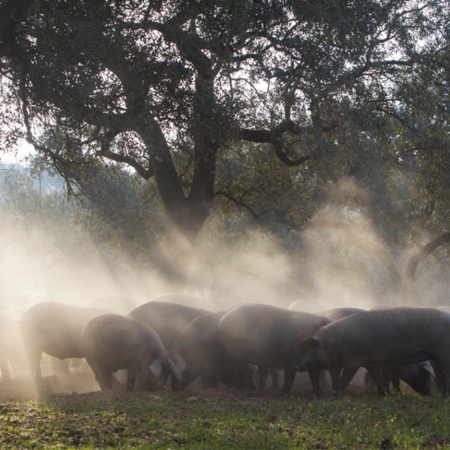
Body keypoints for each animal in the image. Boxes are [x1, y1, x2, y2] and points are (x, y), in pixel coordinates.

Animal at [296, 306, 450, 398]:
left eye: (312, 348)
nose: (298, 366)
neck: (335, 343)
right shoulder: (370, 363)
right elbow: (377, 378)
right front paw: (383, 396)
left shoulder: (353, 361)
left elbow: (345, 378)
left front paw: (337, 396)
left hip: (443, 353)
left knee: (446, 374)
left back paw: (444, 397)